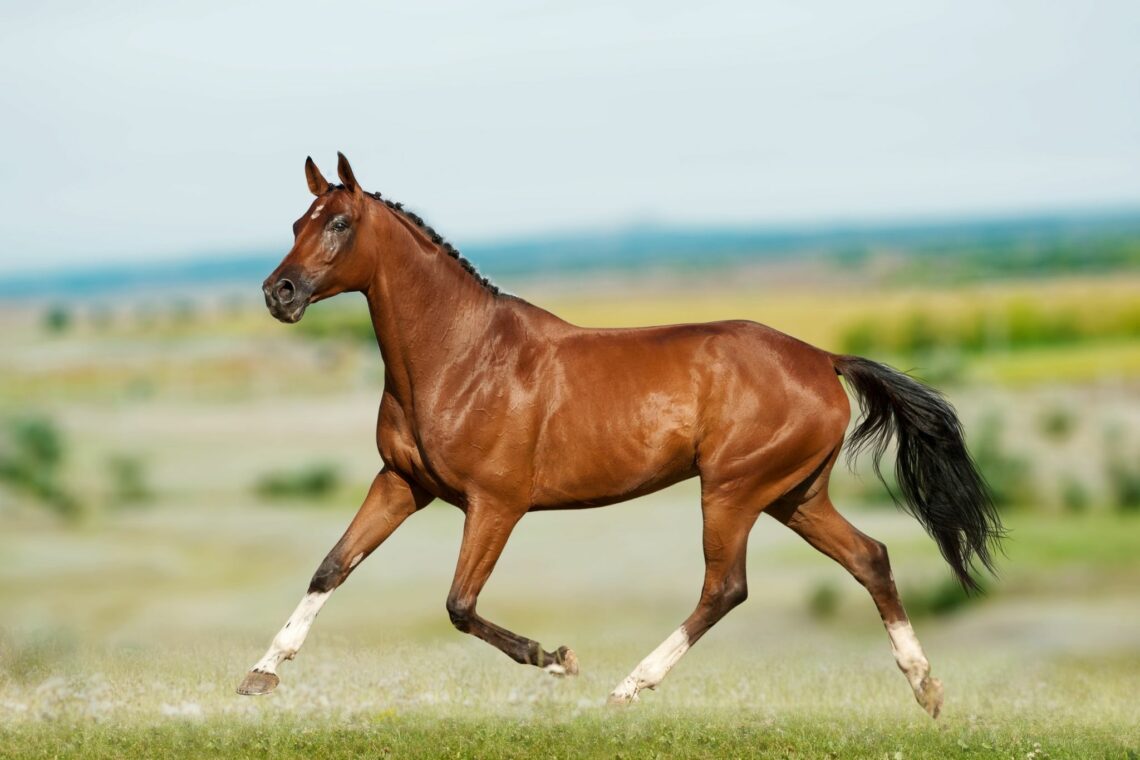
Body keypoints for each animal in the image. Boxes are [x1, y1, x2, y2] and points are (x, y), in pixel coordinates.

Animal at [235, 151, 1003, 715]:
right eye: (296, 221)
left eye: (338, 222)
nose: (278, 294)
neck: (459, 357)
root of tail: (822, 358)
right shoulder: (401, 483)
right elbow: (333, 565)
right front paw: (260, 674)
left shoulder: (496, 504)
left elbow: (459, 604)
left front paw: (555, 660)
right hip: (795, 495)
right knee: (870, 558)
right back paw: (927, 691)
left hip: (733, 490)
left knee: (725, 588)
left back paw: (626, 688)